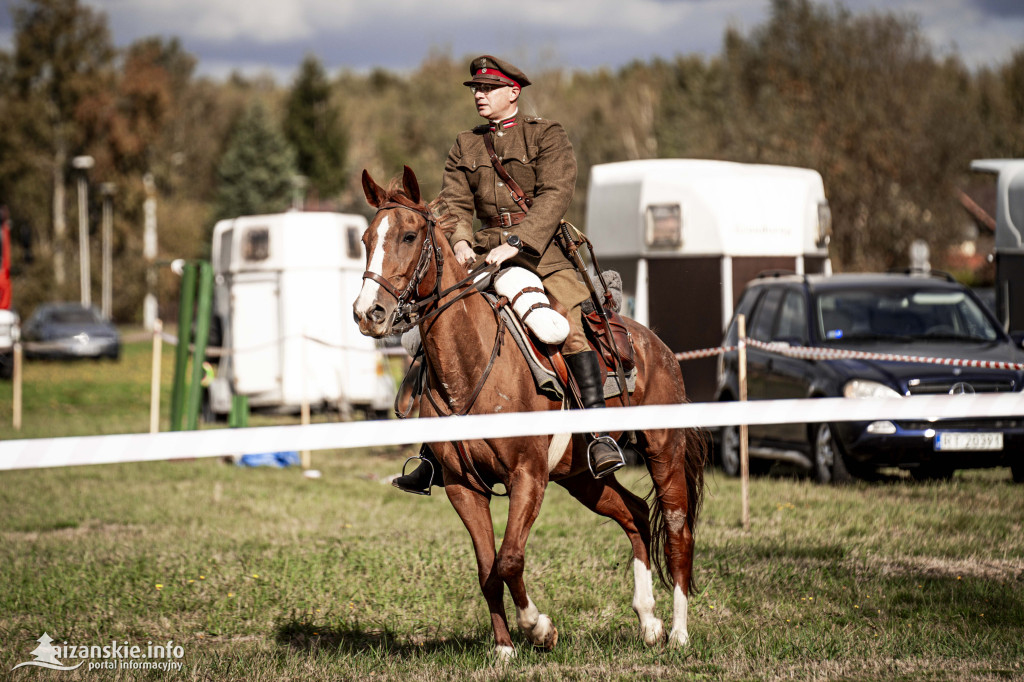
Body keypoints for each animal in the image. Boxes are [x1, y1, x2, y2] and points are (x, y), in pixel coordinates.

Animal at [352, 164, 704, 659]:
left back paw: (678, 632)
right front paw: (504, 649)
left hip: (663, 452)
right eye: (366, 238)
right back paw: (648, 621)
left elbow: (510, 559)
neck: (474, 366)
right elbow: (487, 568)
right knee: (634, 514)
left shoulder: (528, 477)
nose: (369, 313)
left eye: (408, 235)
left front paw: (539, 628)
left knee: (676, 529)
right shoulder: (463, 487)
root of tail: (657, 345)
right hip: (582, 477)